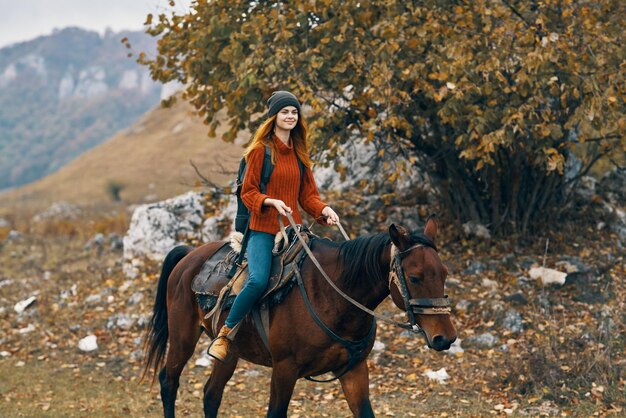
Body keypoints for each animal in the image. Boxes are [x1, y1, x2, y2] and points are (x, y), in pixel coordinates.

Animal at [144, 217, 456, 416]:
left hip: (230, 352)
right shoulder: (285, 369)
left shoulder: (354, 370)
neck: (334, 297)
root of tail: (189, 255)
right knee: (168, 381)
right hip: (182, 337)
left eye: (444, 273)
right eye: (415, 277)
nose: (445, 338)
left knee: (211, 395)